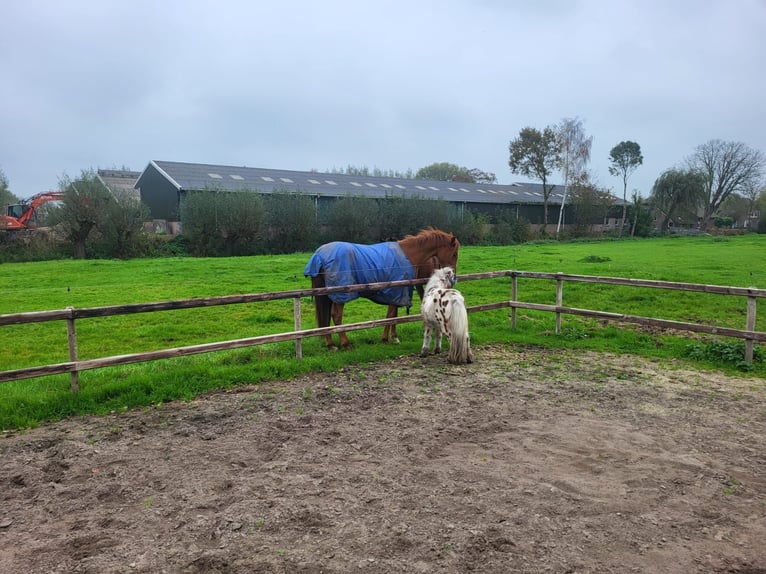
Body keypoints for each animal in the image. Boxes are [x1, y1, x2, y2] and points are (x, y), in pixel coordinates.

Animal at [306, 230, 462, 352]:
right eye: (454, 254)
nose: (453, 278)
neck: (409, 254)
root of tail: (319, 256)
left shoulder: (396, 293)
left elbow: (392, 314)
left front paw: (392, 337)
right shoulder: (397, 290)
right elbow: (391, 315)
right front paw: (387, 339)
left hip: (327, 295)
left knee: (326, 317)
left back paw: (331, 344)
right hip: (340, 295)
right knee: (336, 316)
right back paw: (345, 344)